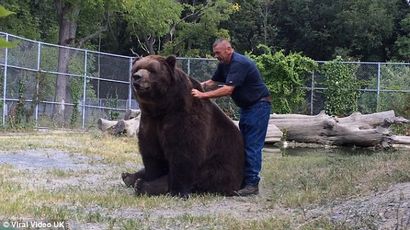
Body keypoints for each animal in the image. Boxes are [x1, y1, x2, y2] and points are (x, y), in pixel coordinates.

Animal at [121, 54, 243, 197]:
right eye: (136, 69)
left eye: (152, 70)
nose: (137, 77)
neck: (164, 107)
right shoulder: (150, 120)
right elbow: (152, 152)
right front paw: (149, 175)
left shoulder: (184, 117)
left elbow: (183, 154)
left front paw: (177, 190)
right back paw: (128, 176)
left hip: (222, 162)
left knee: (206, 176)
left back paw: (141, 185)